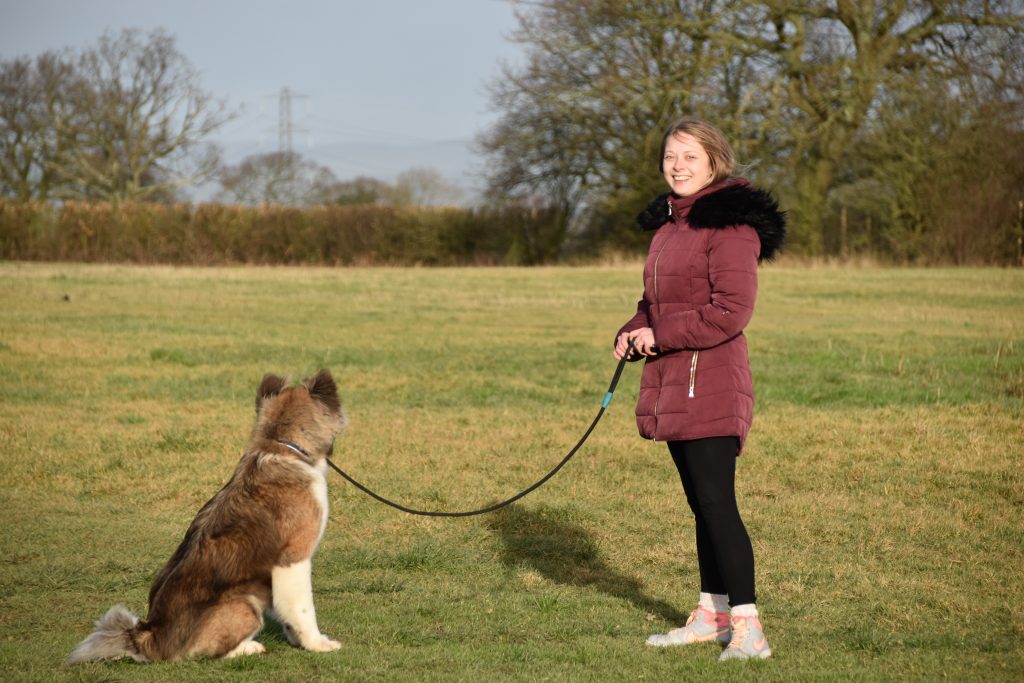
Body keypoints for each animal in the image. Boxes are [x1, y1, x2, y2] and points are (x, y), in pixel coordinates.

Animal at [69, 368, 348, 663]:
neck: (281, 446)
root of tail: (149, 636)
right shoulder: (294, 559)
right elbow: (303, 608)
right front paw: (317, 644)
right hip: (245, 604)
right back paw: (248, 647)